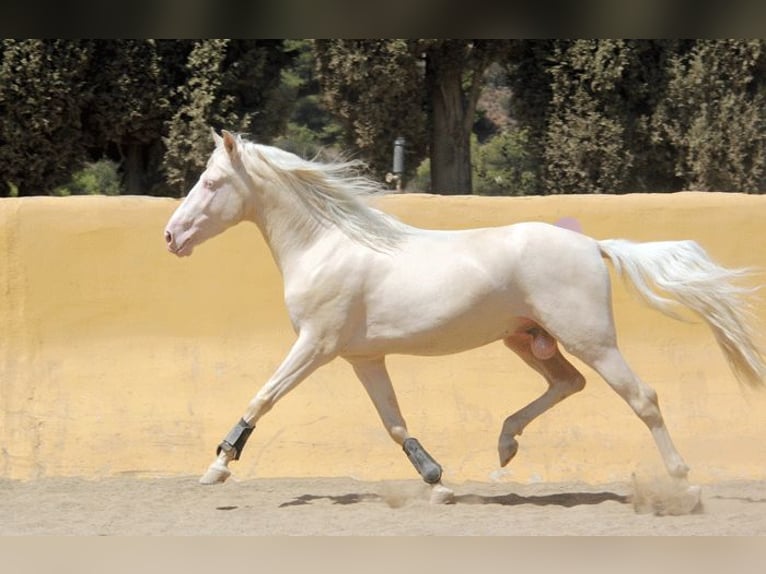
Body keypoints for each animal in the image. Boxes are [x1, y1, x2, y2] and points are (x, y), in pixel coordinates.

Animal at [165, 129, 764, 504]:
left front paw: (217, 467)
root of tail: (594, 245)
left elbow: (263, 396)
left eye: (212, 183)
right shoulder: (362, 357)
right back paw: (505, 444)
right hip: (526, 339)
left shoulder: (317, 344)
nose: (171, 236)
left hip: (590, 338)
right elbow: (394, 422)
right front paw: (436, 481)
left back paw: (683, 484)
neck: (327, 245)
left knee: (642, 397)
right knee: (568, 383)